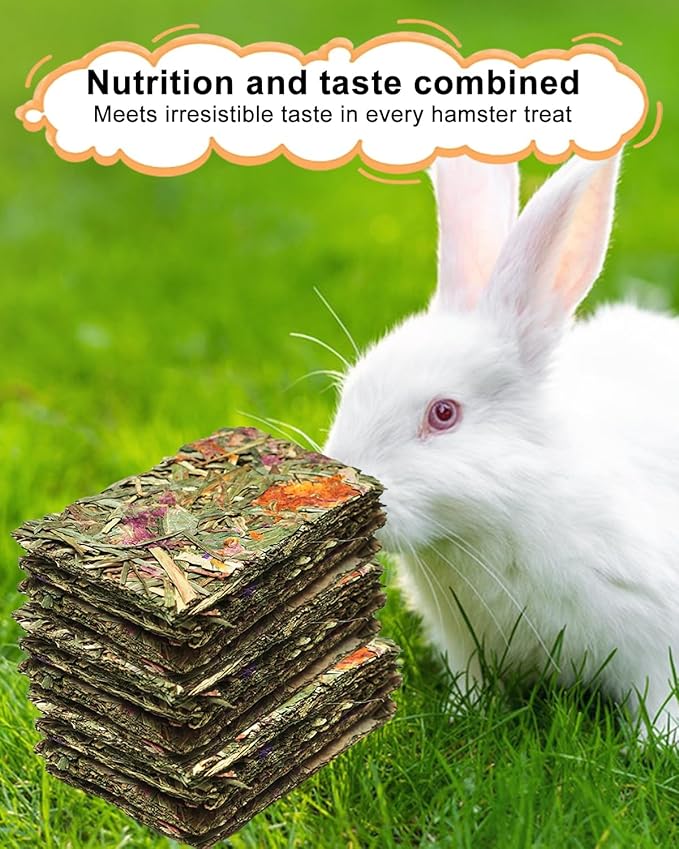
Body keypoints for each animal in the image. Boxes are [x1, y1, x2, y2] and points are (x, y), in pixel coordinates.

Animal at [323, 152, 679, 742]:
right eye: (349, 391)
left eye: (443, 414)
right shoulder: (465, 644)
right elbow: (471, 685)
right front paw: (461, 715)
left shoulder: (655, 644)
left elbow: (659, 699)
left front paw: (657, 745)